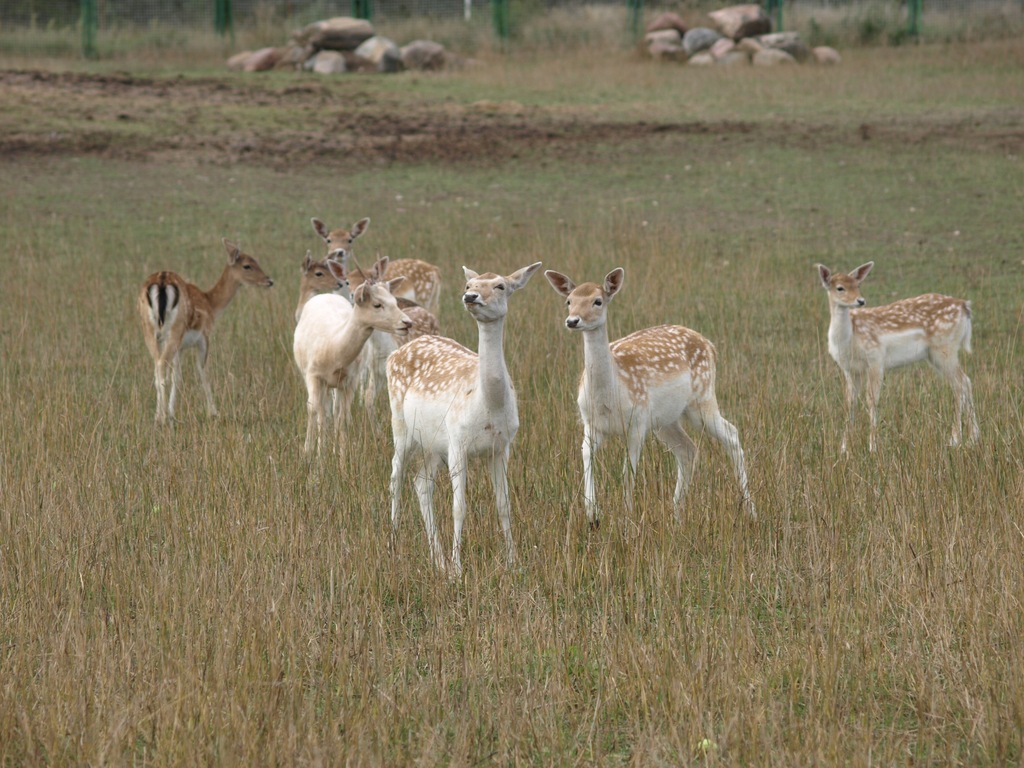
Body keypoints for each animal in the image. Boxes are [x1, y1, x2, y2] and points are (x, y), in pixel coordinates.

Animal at [292, 256, 411, 460]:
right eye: (377, 304)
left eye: (395, 301)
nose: (407, 322)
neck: (334, 350)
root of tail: (325, 295)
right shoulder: (313, 375)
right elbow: (313, 410)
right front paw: (312, 455)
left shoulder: (351, 380)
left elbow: (343, 417)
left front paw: (341, 457)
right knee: (322, 411)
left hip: (337, 385)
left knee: (334, 410)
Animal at [385, 262, 544, 573]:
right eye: (469, 284)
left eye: (500, 285)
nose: (470, 296)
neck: (489, 405)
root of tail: (393, 355)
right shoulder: (458, 442)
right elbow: (459, 507)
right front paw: (458, 570)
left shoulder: (502, 447)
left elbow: (504, 505)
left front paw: (513, 562)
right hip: (401, 426)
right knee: (396, 476)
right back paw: (394, 545)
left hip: (433, 444)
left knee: (421, 484)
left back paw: (437, 559)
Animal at [544, 268, 753, 528]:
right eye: (569, 301)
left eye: (597, 301)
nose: (573, 321)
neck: (609, 396)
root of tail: (710, 345)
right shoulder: (591, 423)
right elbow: (585, 458)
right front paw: (593, 516)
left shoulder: (637, 421)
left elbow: (627, 472)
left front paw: (627, 518)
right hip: (665, 421)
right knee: (688, 449)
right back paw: (676, 515)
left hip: (702, 399)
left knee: (731, 433)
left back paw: (750, 511)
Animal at [815, 264, 974, 456]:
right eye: (840, 288)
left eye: (857, 284)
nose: (860, 301)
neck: (849, 339)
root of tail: (965, 306)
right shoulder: (850, 369)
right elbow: (849, 403)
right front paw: (844, 448)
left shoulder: (875, 358)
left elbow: (872, 400)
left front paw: (873, 447)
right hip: (936, 355)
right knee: (965, 381)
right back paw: (974, 438)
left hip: (945, 348)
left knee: (960, 384)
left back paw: (955, 439)